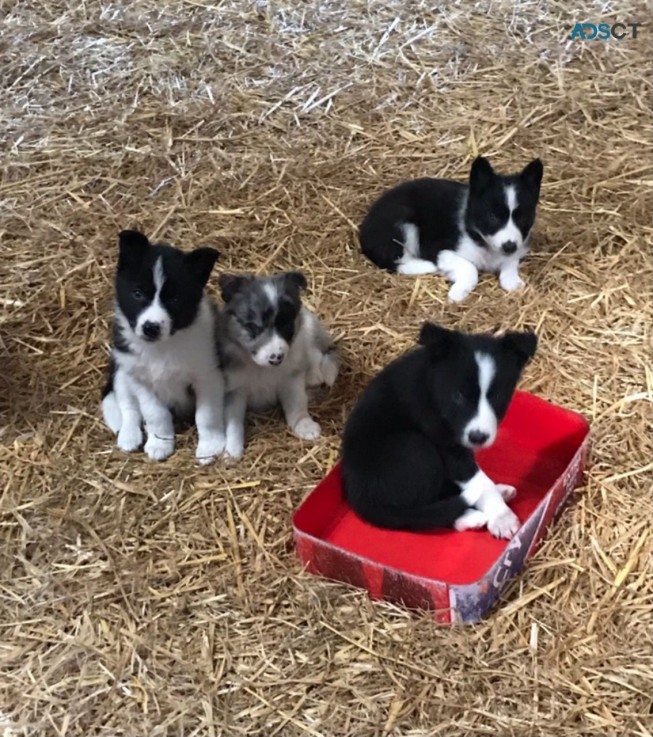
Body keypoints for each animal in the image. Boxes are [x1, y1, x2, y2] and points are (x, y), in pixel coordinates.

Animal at [100, 227, 225, 462]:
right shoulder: (140, 379)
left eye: (175, 299)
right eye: (137, 293)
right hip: (121, 371)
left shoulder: (207, 376)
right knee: (127, 405)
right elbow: (154, 414)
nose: (151, 327)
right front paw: (160, 443)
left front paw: (209, 446)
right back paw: (129, 436)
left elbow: (206, 415)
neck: (162, 347)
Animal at [215, 270, 338, 458]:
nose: (277, 358)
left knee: (315, 353)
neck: (262, 368)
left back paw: (313, 376)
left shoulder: (291, 378)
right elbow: (233, 422)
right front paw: (231, 451)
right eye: (253, 327)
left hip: (307, 328)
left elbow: (297, 403)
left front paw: (305, 425)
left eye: (286, 324)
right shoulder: (234, 390)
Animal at [342, 322, 536, 540]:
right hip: (415, 448)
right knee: (422, 511)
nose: (478, 437)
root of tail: (359, 495)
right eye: (458, 395)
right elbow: (477, 480)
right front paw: (502, 518)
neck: (434, 386)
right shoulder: (448, 444)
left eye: (496, 396)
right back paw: (470, 516)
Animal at [360, 155, 544, 302]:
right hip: (403, 224)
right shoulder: (440, 250)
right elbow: (471, 268)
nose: (509, 246)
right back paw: (426, 266)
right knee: (395, 260)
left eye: (523, 218)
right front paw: (457, 293)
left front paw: (512, 281)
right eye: (493, 217)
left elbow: (511, 261)